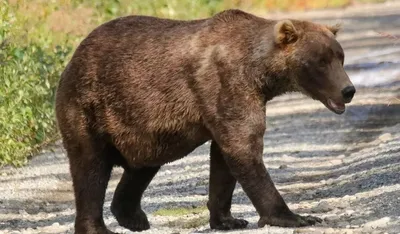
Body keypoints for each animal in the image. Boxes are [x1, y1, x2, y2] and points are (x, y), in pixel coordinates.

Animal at [54, 8, 354, 234]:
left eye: (340, 57)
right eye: (320, 61)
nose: (348, 90)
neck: (260, 73)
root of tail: (74, 56)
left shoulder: (229, 101)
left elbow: (224, 159)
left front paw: (228, 220)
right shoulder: (228, 83)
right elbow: (244, 146)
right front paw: (294, 216)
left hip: (141, 128)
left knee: (142, 166)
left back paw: (133, 217)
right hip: (90, 107)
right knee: (90, 168)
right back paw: (97, 226)